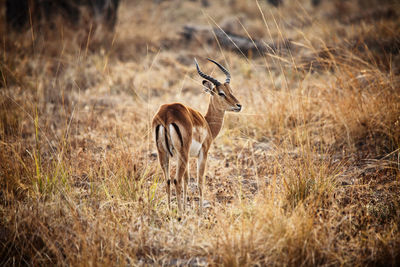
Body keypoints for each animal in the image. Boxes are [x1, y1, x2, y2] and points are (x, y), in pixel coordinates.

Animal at [152, 58, 241, 214]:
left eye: (231, 91)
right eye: (221, 93)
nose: (238, 105)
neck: (207, 123)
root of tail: (166, 114)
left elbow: (187, 180)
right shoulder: (203, 153)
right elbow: (200, 181)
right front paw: (199, 212)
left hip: (164, 153)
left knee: (168, 180)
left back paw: (170, 210)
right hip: (182, 153)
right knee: (176, 180)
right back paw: (180, 214)